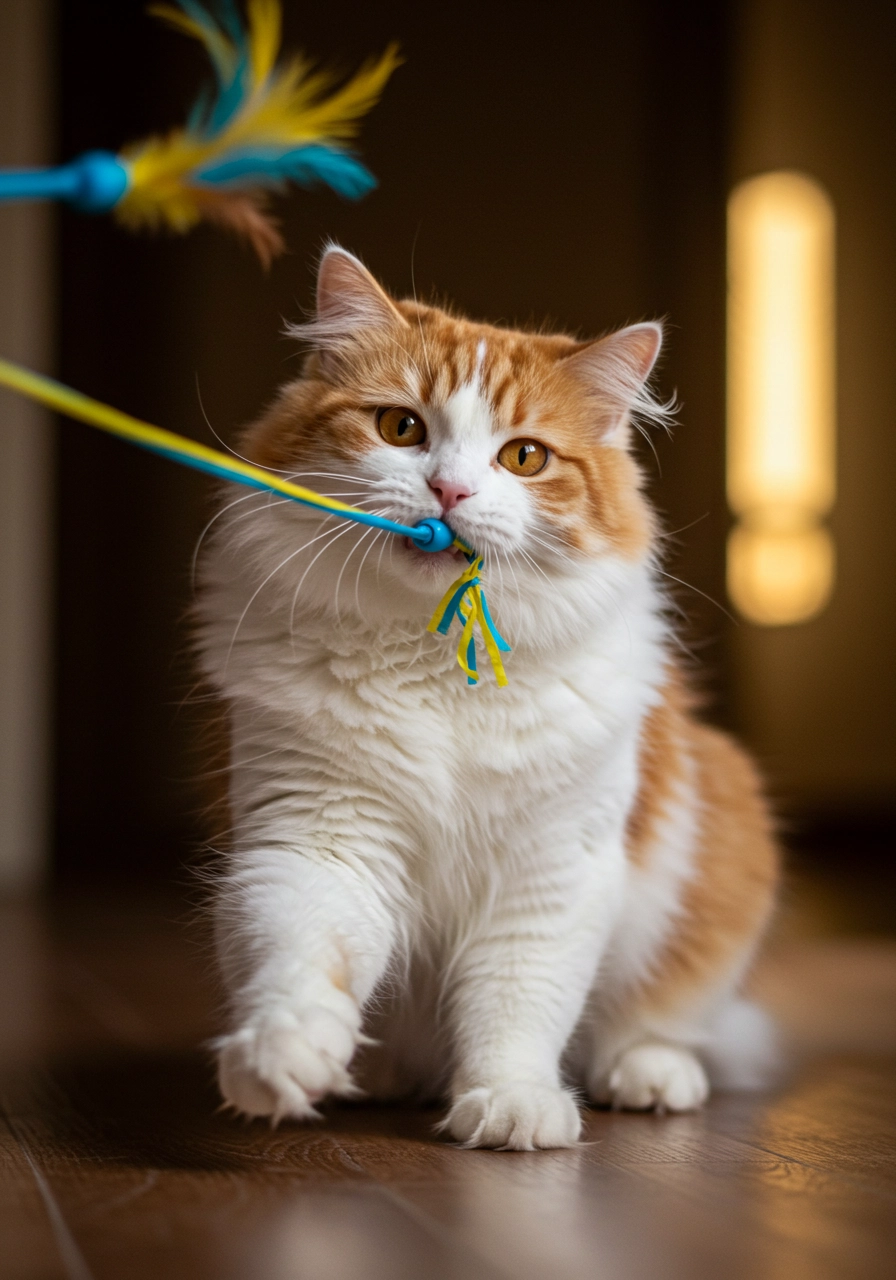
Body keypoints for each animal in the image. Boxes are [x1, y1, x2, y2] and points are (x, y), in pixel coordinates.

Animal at [194, 247, 778, 1152]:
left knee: (661, 1022)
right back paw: (378, 1075)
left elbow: (517, 1002)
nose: (449, 493)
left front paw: (513, 1105)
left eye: (525, 458)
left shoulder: (553, 871)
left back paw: (647, 1076)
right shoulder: (318, 838)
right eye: (401, 429)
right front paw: (282, 1058)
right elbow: (301, 958)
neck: (437, 662)